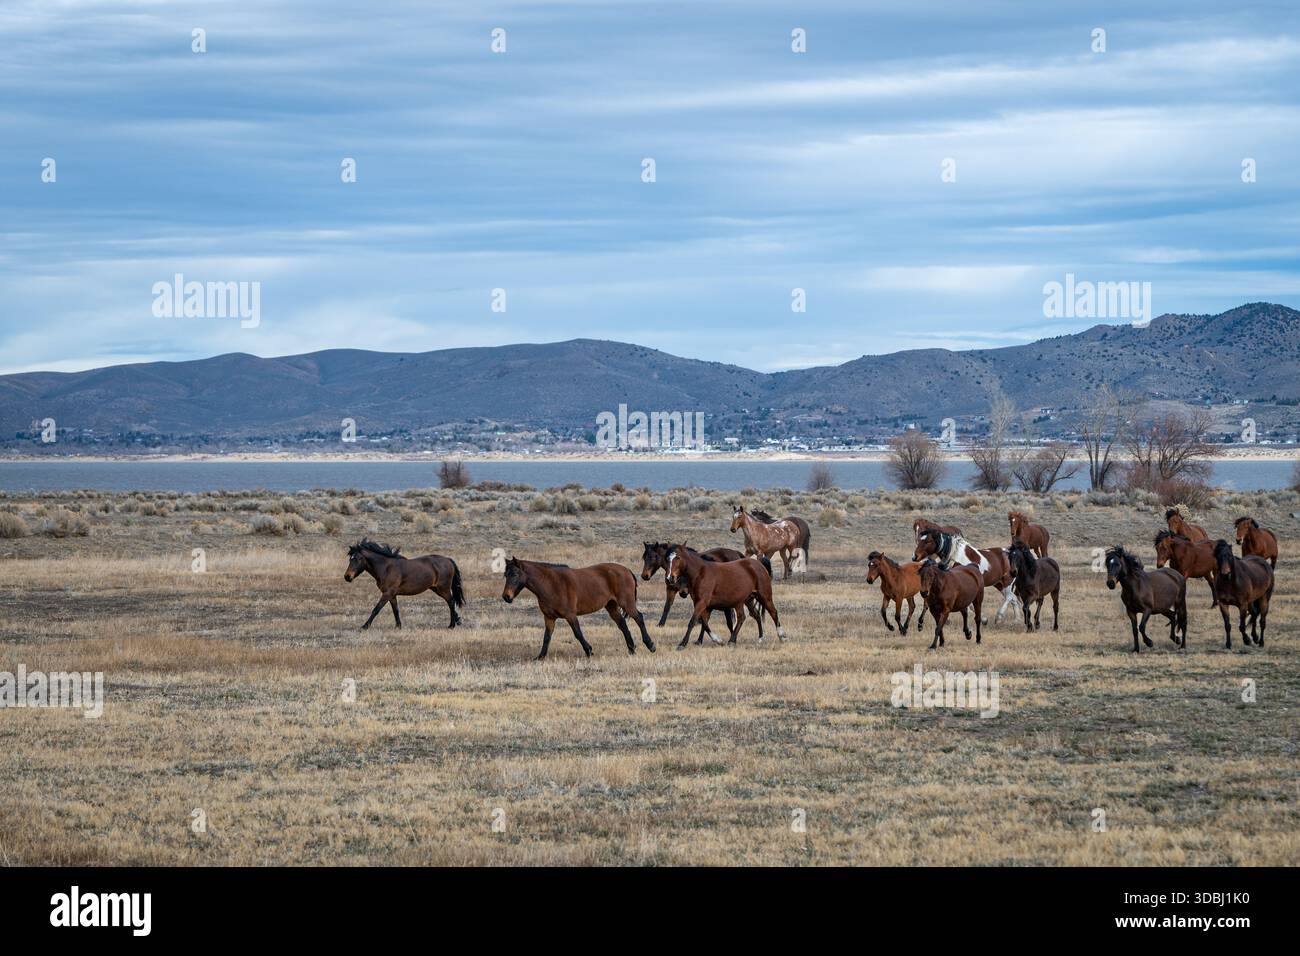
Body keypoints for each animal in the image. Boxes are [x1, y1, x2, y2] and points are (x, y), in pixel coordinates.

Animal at [501, 557, 655, 659]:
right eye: (505, 575)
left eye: (515, 574)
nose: (506, 596)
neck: (551, 584)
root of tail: (626, 570)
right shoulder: (549, 618)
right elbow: (547, 637)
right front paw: (540, 657)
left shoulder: (570, 615)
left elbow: (578, 633)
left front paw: (589, 651)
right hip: (611, 606)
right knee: (622, 624)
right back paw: (631, 649)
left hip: (627, 603)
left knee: (639, 618)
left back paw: (650, 645)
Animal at [639, 541, 768, 631]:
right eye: (644, 557)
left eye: (653, 556)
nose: (644, 576)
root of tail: (736, 554)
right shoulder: (671, 589)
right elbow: (667, 606)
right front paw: (660, 624)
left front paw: (699, 622)